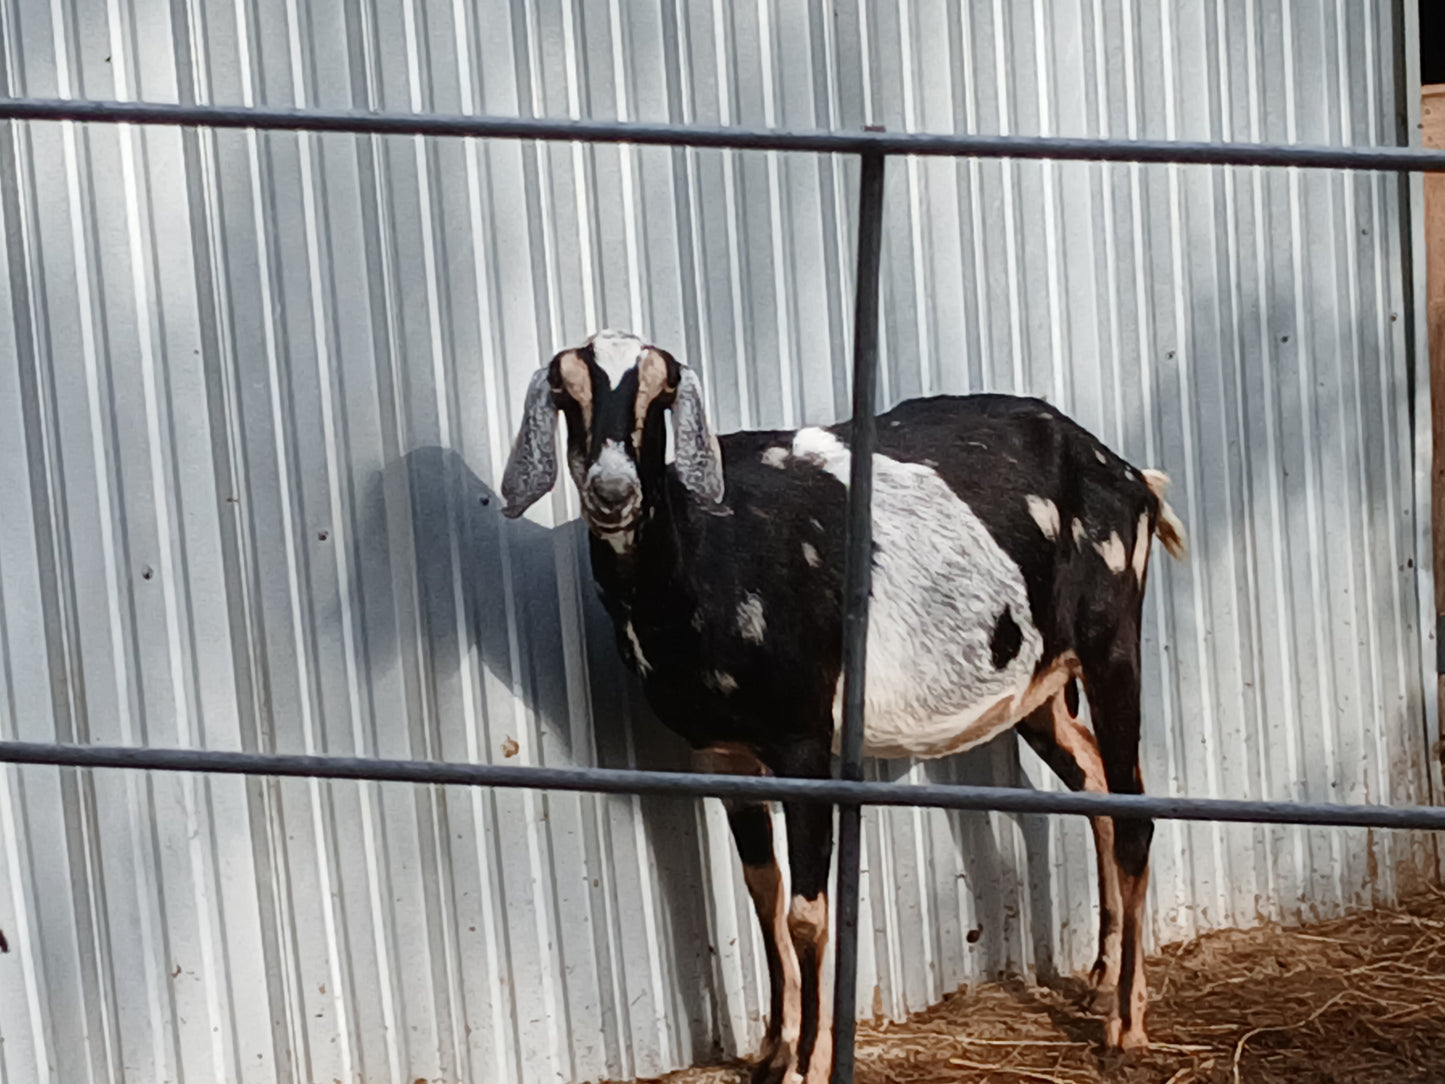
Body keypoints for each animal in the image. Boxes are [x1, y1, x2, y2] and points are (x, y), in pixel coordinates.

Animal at [500, 329, 1186, 1084]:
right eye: (567, 394)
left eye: (661, 393)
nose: (613, 492)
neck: (709, 551)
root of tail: (1128, 476)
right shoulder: (717, 750)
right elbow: (763, 892)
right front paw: (773, 1046)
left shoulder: (802, 739)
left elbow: (807, 911)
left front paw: (808, 1062)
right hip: (1040, 684)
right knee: (1097, 787)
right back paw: (1101, 980)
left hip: (1110, 640)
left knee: (1135, 814)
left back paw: (1126, 1024)